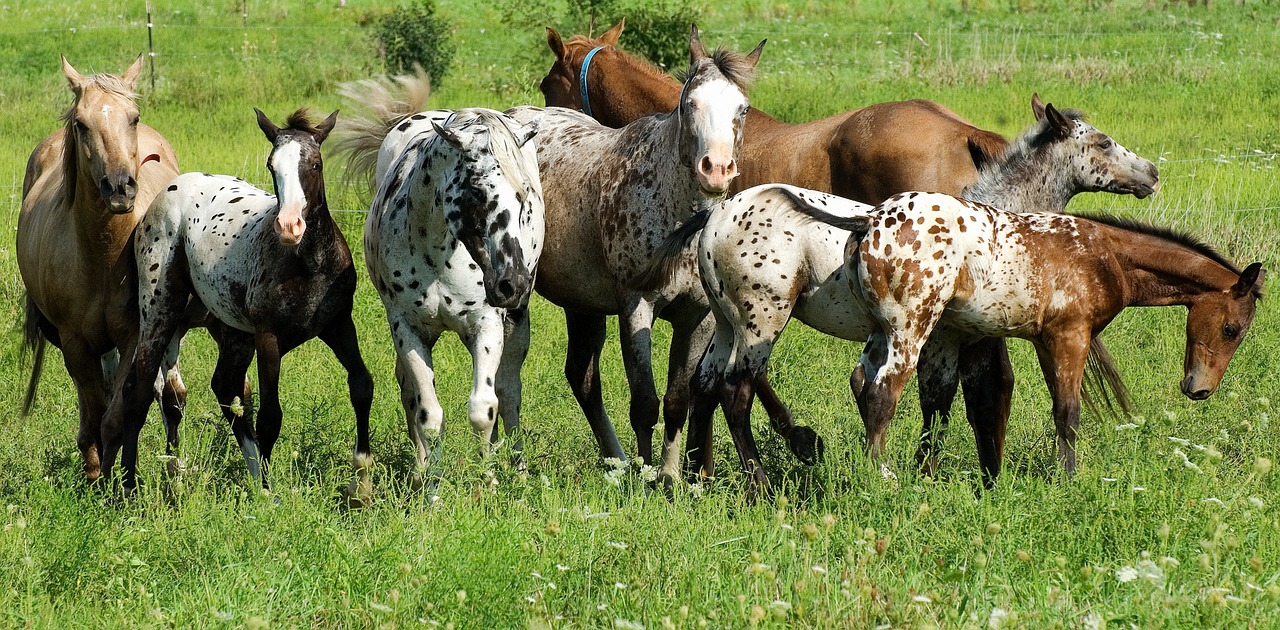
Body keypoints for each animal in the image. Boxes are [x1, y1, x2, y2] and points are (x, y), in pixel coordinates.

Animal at [17, 56, 185, 484]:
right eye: (81, 124)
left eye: (133, 117)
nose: (120, 187)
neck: (104, 259)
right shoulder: (75, 342)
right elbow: (95, 409)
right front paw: (96, 475)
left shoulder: (132, 338)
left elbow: (114, 417)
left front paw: (116, 483)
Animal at [363, 109, 542, 491]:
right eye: (477, 191)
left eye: (523, 196)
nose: (513, 284)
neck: (438, 252)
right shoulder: (408, 331)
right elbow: (428, 415)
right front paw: (431, 488)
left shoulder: (486, 327)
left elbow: (483, 409)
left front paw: (487, 483)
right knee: (408, 392)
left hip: (516, 327)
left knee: (509, 393)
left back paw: (518, 470)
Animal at [634, 94, 1167, 496]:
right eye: (1102, 141)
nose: (1151, 173)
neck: (988, 226)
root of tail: (713, 219)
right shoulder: (951, 338)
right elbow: (978, 395)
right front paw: (967, 474)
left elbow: (922, 394)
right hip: (761, 322)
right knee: (735, 390)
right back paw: (760, 482)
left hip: (727, 323)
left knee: (705, 385)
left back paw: (698, 477)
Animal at [793, 192, 1264, 476]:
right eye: (1231, 329)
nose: (1199, 389)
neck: (1105, 255)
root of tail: (870, 221)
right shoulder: (1070, 336)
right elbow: (1069, 412)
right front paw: (1068, 478)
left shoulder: (1044, 342)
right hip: (910, 328)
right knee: (882, 393)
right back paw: (881, 474)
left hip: (883, 330)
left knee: (862, 383)